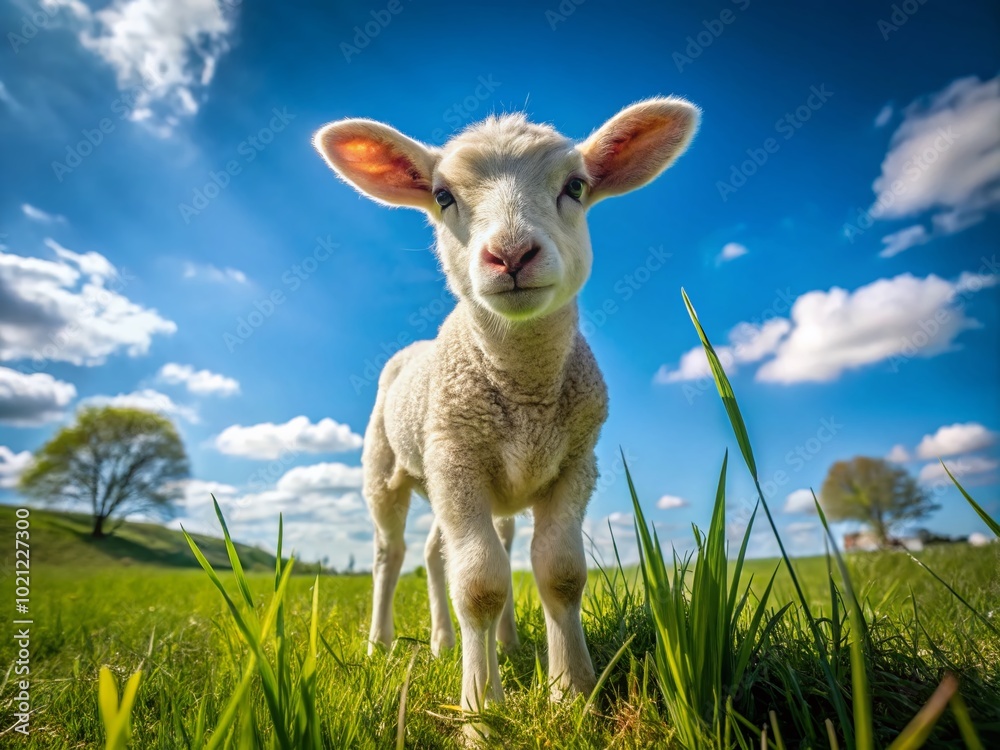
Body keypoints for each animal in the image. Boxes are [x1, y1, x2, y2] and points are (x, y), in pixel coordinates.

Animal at [313, 98, 699, 724]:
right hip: (387, 470)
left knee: (439, 553)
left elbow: (559, 573)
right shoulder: (456, 459)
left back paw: (464, 643)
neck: (524, 387)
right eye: (443, 196)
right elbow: (480, 584)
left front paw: (572, 694)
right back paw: (382, 644)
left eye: (575, 186)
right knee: (391, 555)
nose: (511, 254)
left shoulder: (575, 462)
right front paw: (480, 712)